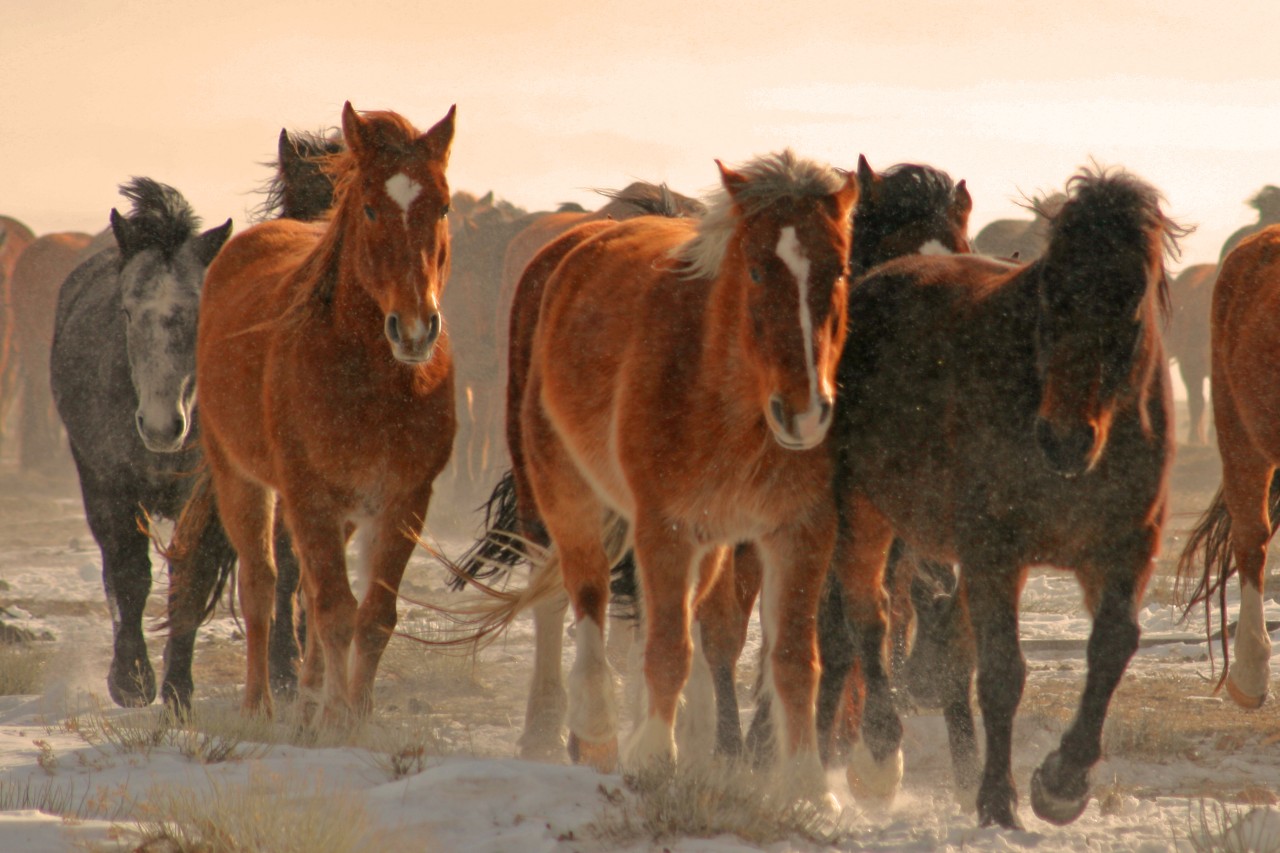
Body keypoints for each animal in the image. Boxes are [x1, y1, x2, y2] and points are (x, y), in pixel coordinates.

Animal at [51, 178, 233, 708]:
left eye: (198, 312)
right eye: (129, 312)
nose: (160, 426)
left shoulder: (204, 495)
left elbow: (191, 577)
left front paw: (177, 690)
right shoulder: (111, 485)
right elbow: (129, 575)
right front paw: (131, 681)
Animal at [171, 103, 457, 723]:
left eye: (444, 205)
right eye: (370, 206)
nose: (415, 330)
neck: (372, 380)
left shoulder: (404, 499)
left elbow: (373, 617)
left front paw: (354, 718)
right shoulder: (309, 495)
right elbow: (332, 608)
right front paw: (334, 719)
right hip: (243, 481)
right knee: (261, 585)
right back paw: (260, 706)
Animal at [825, 167, 1181, 828]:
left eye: (1131, 300)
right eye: (1051, 296)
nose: (1065, 439)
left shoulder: (1124, 548)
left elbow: (1112, 646)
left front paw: (1062, 783)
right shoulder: (994, 551)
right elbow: (1001, 672)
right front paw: (997, 800)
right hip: (861, 510)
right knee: (867, 615)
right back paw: (879, 761)